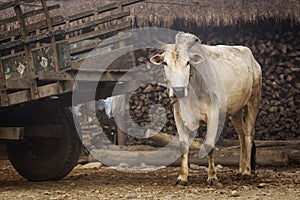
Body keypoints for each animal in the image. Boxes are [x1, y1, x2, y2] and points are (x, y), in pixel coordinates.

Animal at [151, 32, 262, 184]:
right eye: (165, 63)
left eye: (188, 62)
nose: (178, 91)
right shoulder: (178, 115)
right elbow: (183, 145)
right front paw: (182, 177)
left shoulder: (213, 115)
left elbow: (209, 145)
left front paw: (212, 176)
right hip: (236, 111)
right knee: (241, 135)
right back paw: (241, 168)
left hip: (253, 101)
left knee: (249, 135)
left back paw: (247, 171)